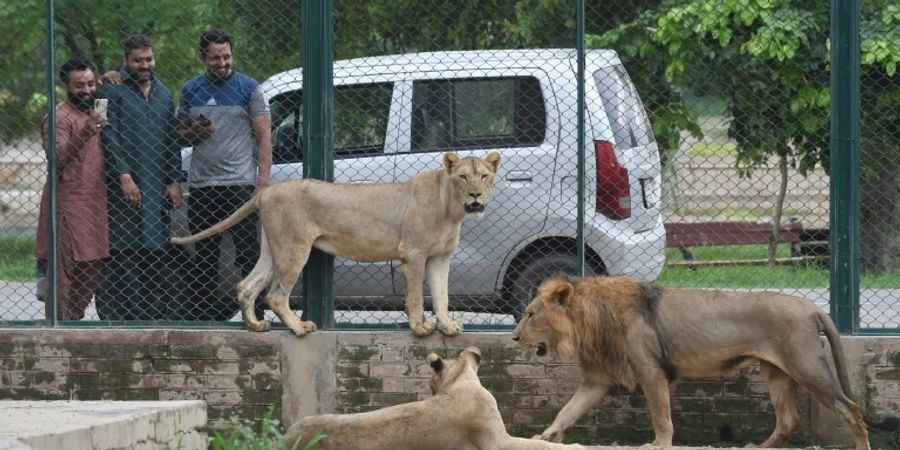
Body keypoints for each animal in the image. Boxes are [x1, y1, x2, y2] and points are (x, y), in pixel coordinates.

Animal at [171, 152, 500, 338]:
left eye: (484, 176)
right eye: (463, 177)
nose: (475, 196)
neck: (451, 209)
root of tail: (266, 192)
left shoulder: (441, 258)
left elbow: (442, 295)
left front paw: (447, 326)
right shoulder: (414, 254)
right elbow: (417, 297)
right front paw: (420, 329)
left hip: (273, 250)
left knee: (246, 286)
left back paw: (255, 326)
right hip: (294, 249)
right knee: (275, 296)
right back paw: (299, 327)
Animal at [284, 348, 588, 450]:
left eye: (430, 384)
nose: (429, 390)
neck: (459, 381)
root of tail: (286, 437)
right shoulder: (496, 442)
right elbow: (539, 445)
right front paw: (576, 445)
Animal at [512, 274, 892, 450]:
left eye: (531, 314)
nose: (514, 338)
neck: (589, 322)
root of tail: (812, 307)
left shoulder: (652, 371)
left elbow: (661, 416)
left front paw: (658, 445)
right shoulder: (597, 381)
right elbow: (567, 411)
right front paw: (545, 437)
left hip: (806, 366)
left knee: (849, 408)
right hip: (777, 372)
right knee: (789, 419)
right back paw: (758, 447)